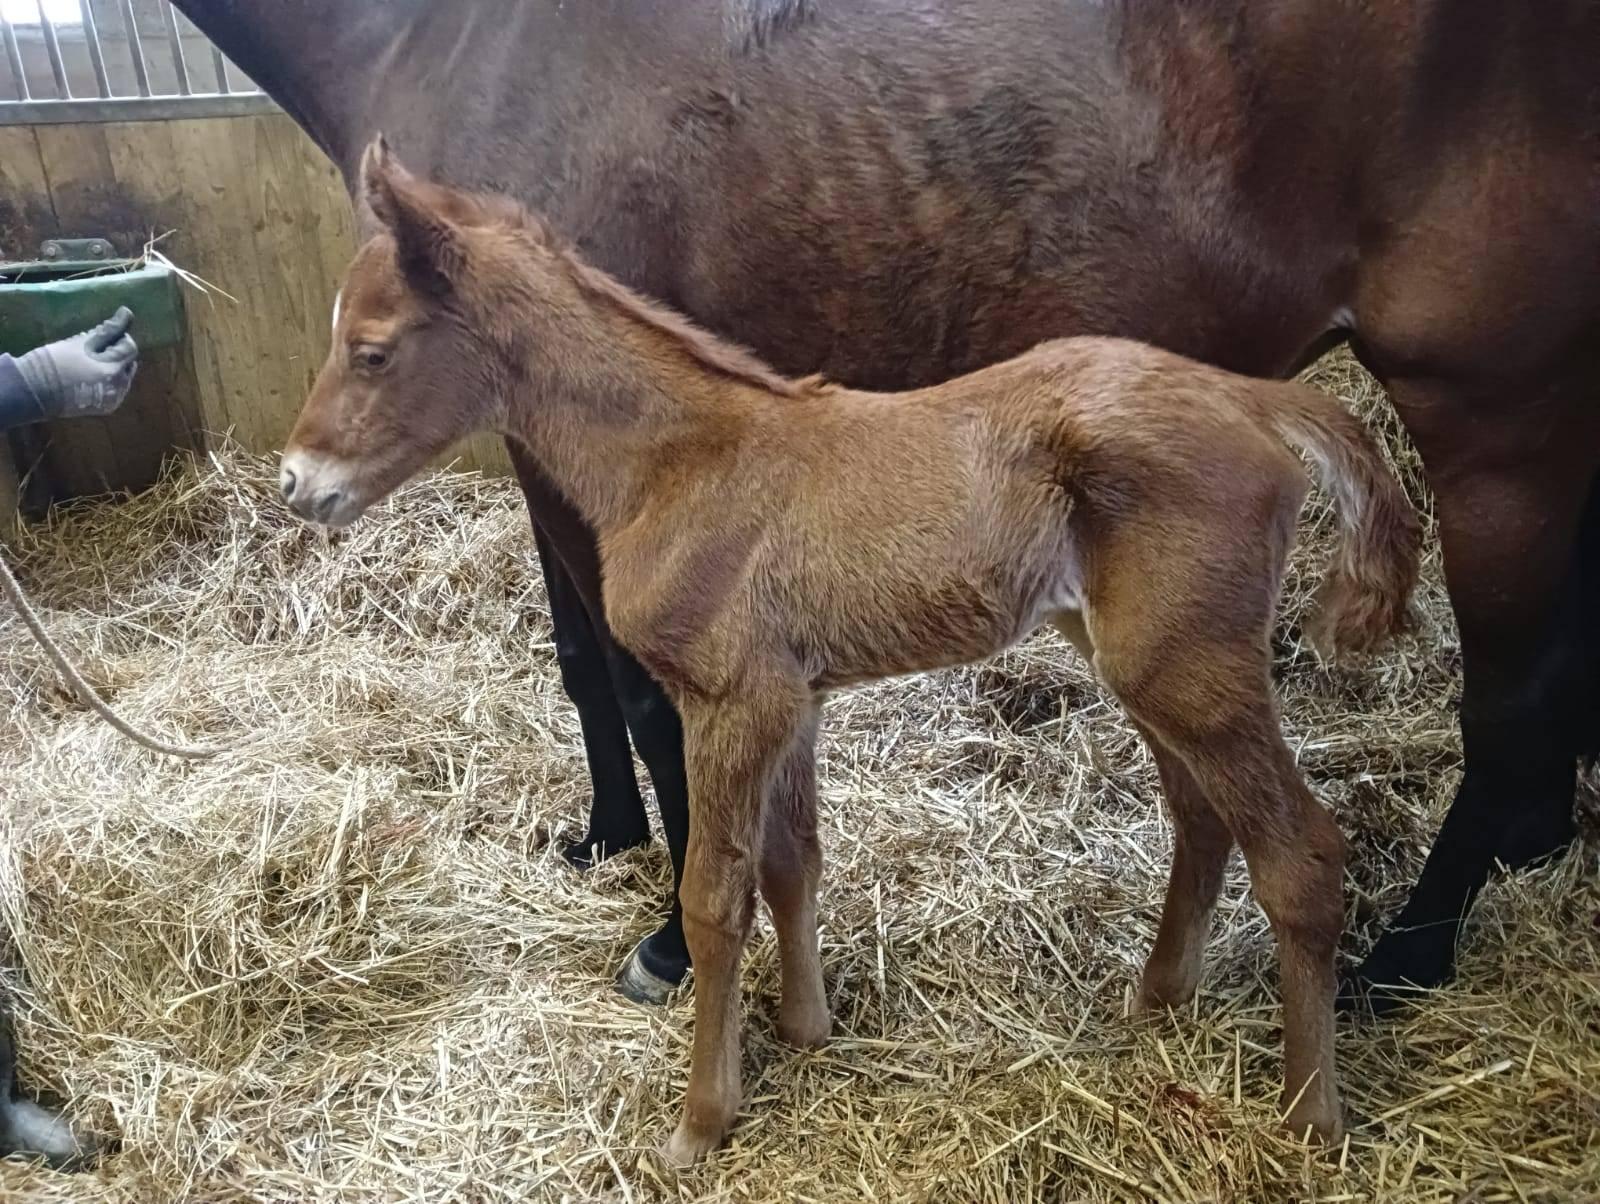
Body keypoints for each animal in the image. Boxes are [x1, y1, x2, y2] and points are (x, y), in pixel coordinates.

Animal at [281, 143, 1420, 1165]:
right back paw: (1155, 999)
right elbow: (793, 866)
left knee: (1301, 857)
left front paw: (699, 1124)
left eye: (372, 349)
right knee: (1202, 815)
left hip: (1183, 663)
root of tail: (1251, 398)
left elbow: (713, 899)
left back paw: (1310, 1120)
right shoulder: (793, 699)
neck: (680, 463)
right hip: (1138, 654)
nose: (297, 484)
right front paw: (805, 1031)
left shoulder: (728, 700)